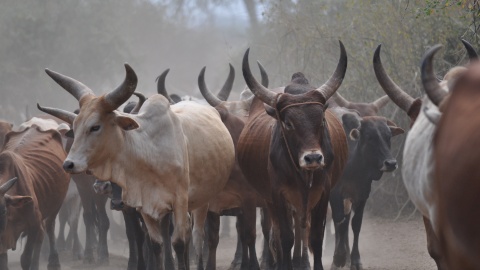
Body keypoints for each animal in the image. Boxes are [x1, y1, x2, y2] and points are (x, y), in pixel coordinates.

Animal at [0, 118, 69, 270]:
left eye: (3, 210)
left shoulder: (34, 226)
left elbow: (26, 258)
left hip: (56, 205)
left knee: (48, 227)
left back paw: (54, 262)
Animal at [38, 63, 235, 270]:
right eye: (74, 127)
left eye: (95, 127)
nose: (68, 164)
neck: (150, 153)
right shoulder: (144, 205)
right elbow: (155, 243)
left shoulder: (180, 203)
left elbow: (179, 243)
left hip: (204, 199)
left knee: (198, 237)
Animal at [237, 42, 346, 270]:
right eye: (288, 123)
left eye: (321, 119)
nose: (313, 159)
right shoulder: (277, 195)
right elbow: (285, 238)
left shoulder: (323, 193)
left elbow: (315, 237)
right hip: (271, 200)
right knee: (276, 236)